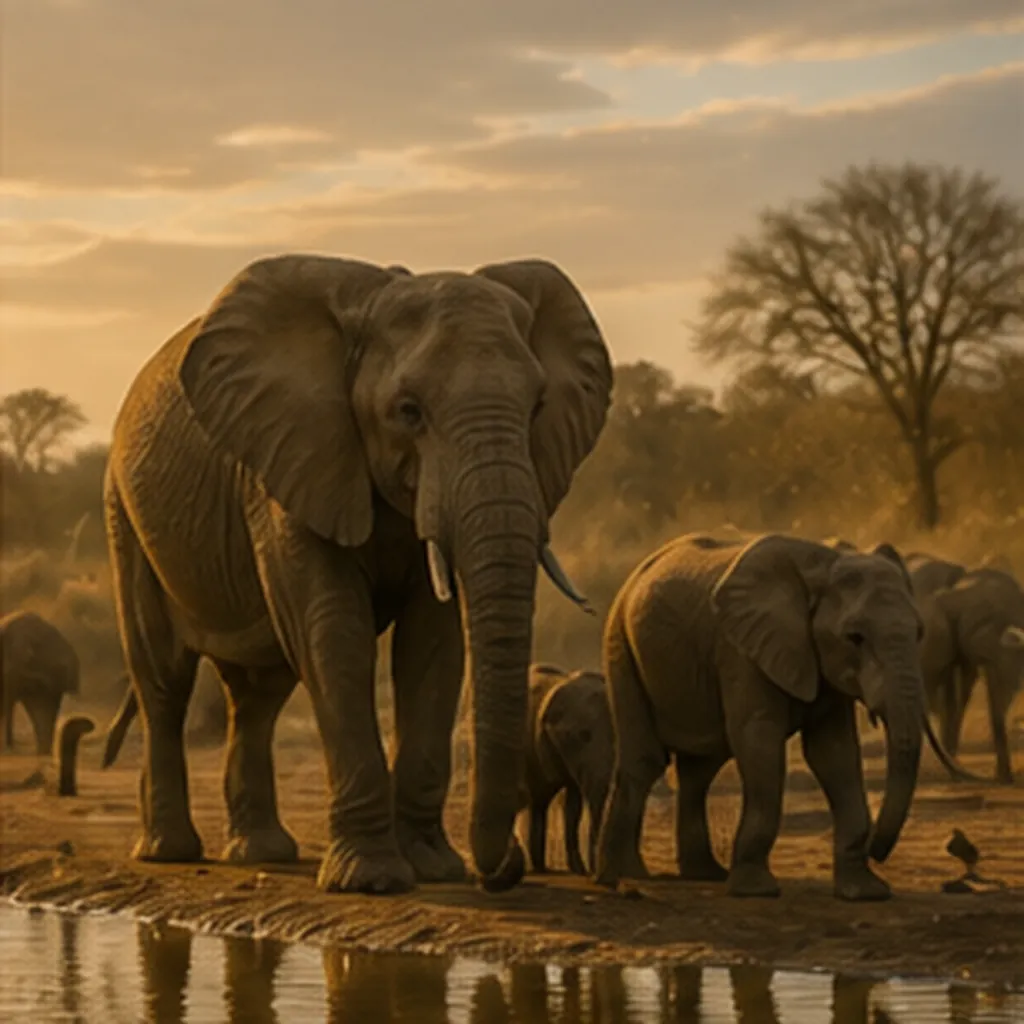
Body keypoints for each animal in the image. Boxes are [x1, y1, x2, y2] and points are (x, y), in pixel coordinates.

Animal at [520, 663, 612, 875]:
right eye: (583, 736)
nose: (593, 872)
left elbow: (573, 807)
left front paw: (579, 870)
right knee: (535, 800)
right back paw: (536, 868)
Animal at [595, 532, 956, 901]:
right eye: (855, 637)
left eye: (919, 633)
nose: (877, 849)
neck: (823, 565)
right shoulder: (741, 650)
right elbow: (759, 741)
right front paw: (755, 890)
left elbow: (835, 753)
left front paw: (865, 893)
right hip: (619, 645)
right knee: (645, 762)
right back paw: (622, 875)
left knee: (700, 769)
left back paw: (703, 874)